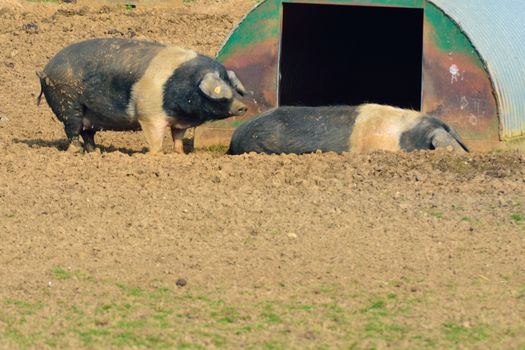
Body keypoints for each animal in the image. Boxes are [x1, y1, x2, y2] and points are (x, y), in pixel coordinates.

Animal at [37, 37, 247, 154]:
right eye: (222, 90)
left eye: (232, 85)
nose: (243, 107)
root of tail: (45, 69)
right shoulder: (150, 115)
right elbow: (156, 139)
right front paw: (152, 155)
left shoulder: (179, 121)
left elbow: (177, 137)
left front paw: (179, 155)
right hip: (68, 103)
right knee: (72, 130)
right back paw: (77, 152)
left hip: (91, 114)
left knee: (87, 133)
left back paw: (95, 152)